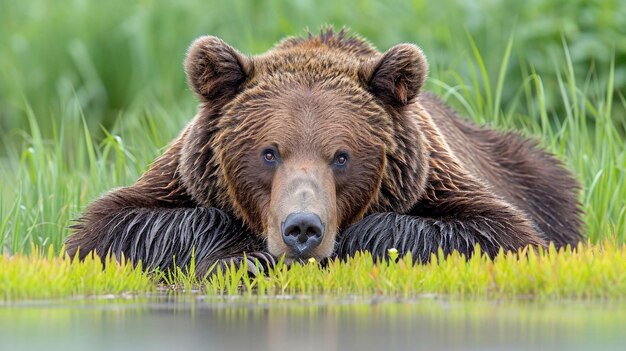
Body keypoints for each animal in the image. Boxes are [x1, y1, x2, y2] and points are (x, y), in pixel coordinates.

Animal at [64, 28, 580, 276]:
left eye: (342, 155)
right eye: (269, 152)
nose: (302, 228)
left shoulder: (440, 179)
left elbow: (499, 235)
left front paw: (352, 243)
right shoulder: (180, 178)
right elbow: (113, 227)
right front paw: (245, 258)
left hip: (536, 177)